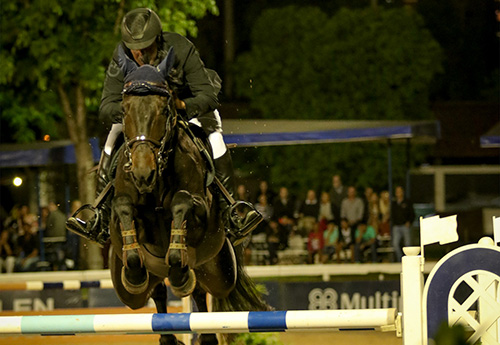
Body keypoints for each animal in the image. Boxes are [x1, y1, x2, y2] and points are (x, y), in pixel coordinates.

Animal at [107, 46, 268, 344]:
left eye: (164, 109)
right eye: (124, 110)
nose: (143, 173)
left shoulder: (200, 208)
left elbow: (181, 202)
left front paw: (179, 272)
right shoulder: (122, 210)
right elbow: (123, 206)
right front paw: (134, 269)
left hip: (220, 272)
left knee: (200, 291)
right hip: (132, 293)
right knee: (155, 292)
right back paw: (167, 333)